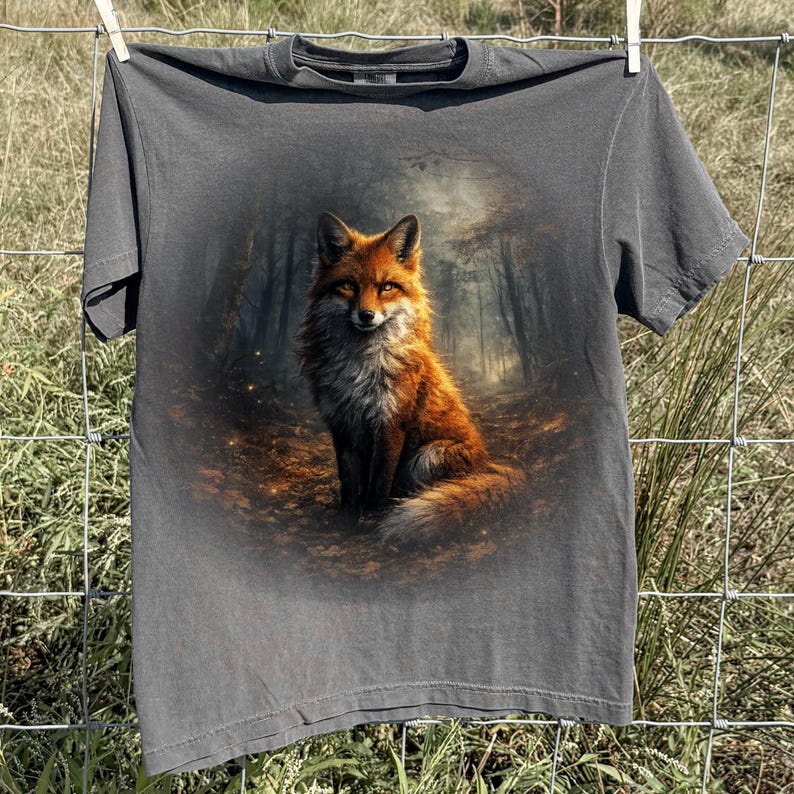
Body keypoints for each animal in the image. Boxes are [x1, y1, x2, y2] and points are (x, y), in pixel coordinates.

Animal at [296, 211, 525, 546]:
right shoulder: (341, 423)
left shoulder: (391, 422)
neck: (360, 366)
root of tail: (489, 464)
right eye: (349, 285)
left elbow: (379, 483)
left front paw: (372, 520)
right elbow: (349, 483)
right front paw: (346, 521)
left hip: (427, 456)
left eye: (387, 287)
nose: (366, 315)